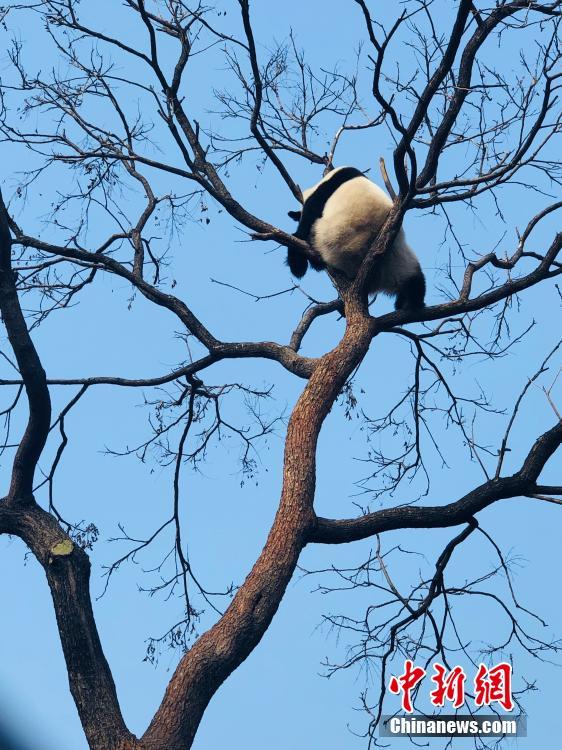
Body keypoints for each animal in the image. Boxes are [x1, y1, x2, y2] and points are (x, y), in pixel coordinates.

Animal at [284, 167, 424, 312]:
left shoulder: (324, 192)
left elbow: (309, 215)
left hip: (329, 238)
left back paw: (300, 263)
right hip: (396, 258)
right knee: (414, 279)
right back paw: (410, 303)